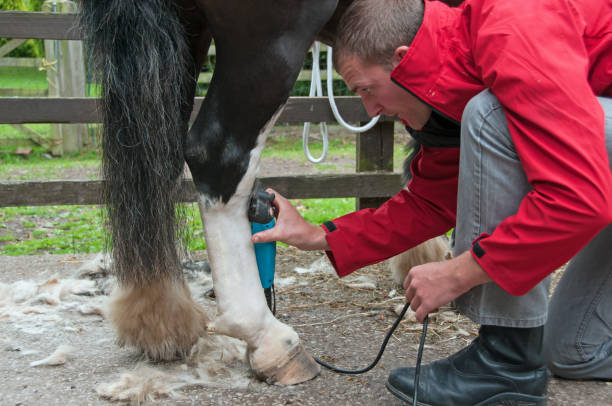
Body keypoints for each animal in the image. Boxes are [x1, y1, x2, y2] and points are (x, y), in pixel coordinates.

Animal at [79, 0, 454, 384]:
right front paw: (427, 253)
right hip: (270, 43)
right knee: (218, 153)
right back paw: (267, 337)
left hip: (185, 34)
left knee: (155, 156)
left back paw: (159, 318)